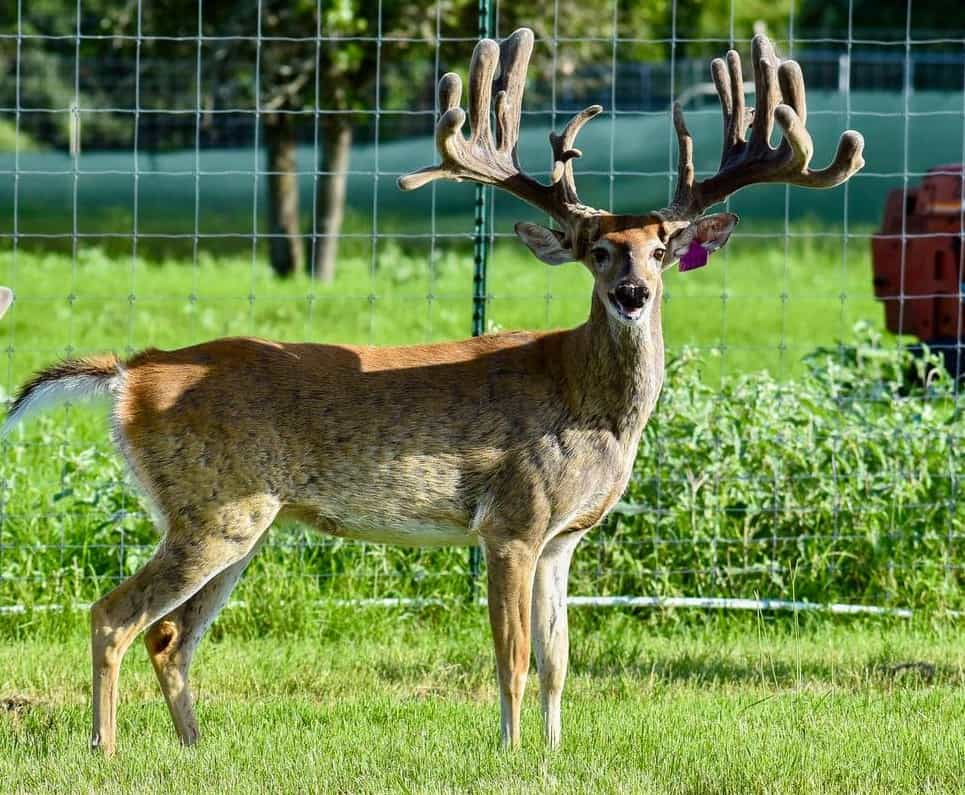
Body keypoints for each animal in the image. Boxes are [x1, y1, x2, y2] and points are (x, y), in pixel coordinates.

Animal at [1, 29, 863, 755]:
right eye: (593, 249)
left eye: (658, 248)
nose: (631, 295)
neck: (587, 404)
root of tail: (132, 371)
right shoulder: (511, 519)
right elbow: (512, 656)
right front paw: (510, 753)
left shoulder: (564, 537)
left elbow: (559, 658)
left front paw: (553, 753)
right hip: (215, 507)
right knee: (115, 614)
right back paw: (105, 748)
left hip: (237, 519)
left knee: (169, 635)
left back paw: (195, 747)